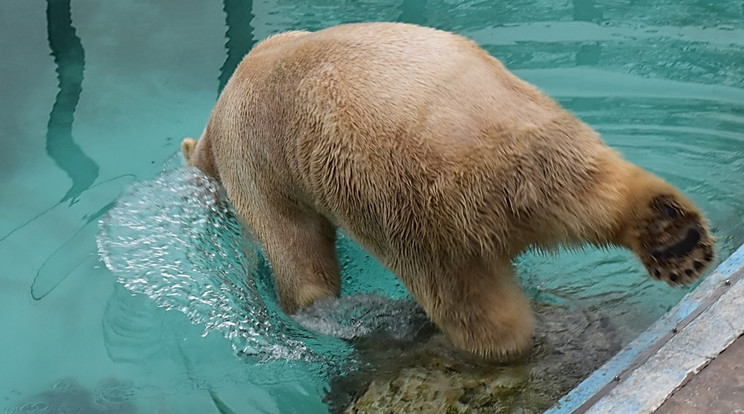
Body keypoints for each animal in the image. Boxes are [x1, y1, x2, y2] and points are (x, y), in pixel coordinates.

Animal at [182, 22, 716, 360]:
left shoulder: (251, 167)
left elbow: (298, 258)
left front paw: (311, 312)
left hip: (410, 208)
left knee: (468, 303)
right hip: (544, 128)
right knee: (594, 190)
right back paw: (674, 237)